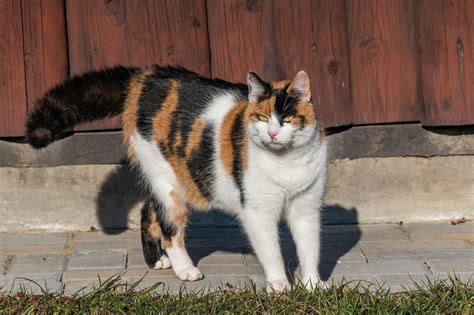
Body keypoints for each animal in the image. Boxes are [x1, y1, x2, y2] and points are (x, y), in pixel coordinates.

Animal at [25, 65, 328, 292]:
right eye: (262, 118)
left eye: (287, 119)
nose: (272, 134)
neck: (286, 163)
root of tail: (143, 76)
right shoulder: (257, 212)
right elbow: (272, 251)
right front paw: (279, 286)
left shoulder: (307, 208)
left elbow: (310, 247)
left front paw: (313, 285)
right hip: (168, 183)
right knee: (170, 229)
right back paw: (185, 269)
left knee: (148, 210)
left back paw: (155, 261)